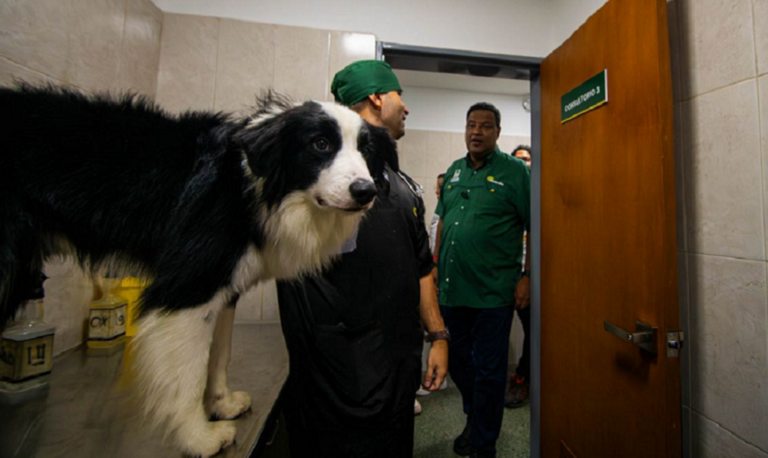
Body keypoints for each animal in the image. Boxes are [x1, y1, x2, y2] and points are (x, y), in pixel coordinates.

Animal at [0, 84, 396, 456]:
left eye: (366, 151)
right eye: (320, 144)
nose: (366, 191)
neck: (252, 186)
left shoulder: (226, 287)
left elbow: (219, 351)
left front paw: (223, 404)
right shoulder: (190, 283)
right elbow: (188, 371)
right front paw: (198, 437)